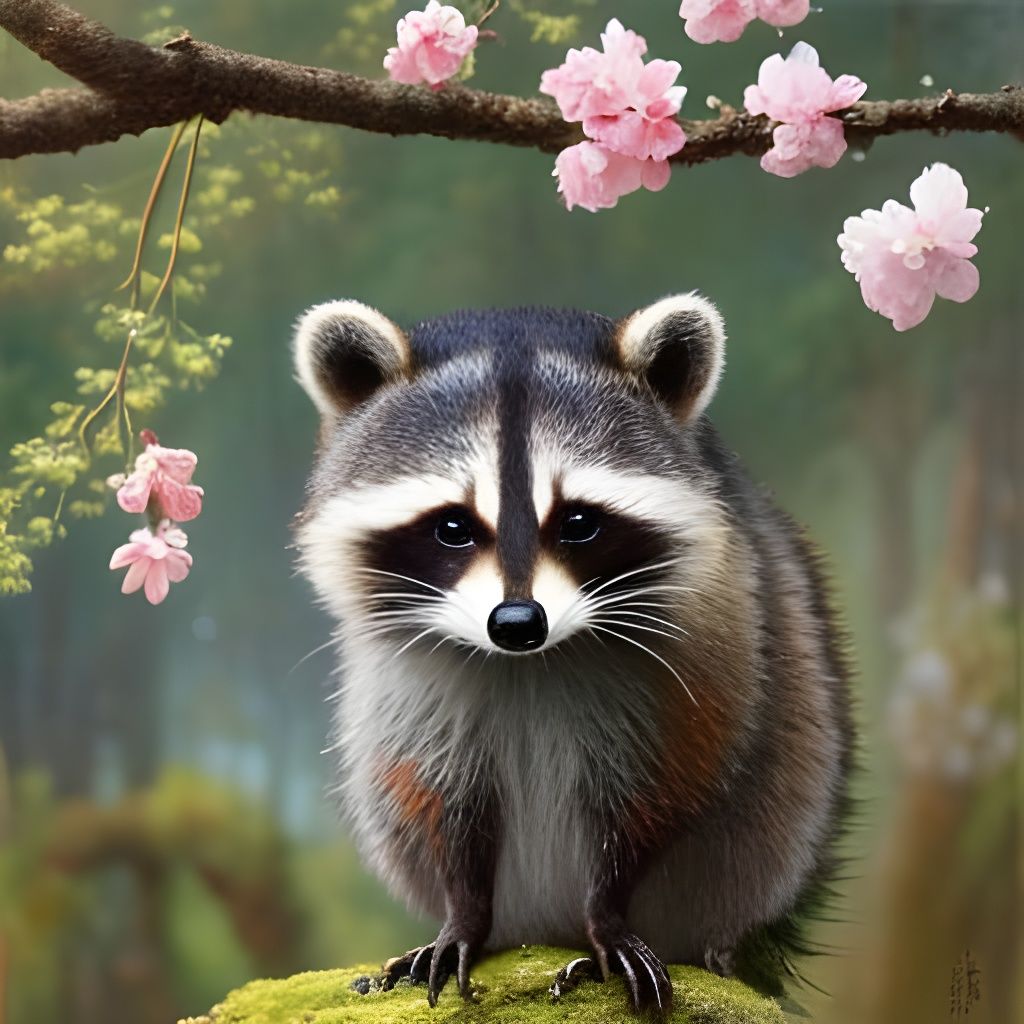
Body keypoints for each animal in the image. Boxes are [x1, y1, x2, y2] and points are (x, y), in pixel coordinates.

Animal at [292, 295, 853, 1017]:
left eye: (579, 522)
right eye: (453, 526)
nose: (516, 623)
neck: (528, 662)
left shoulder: (702, 652)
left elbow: (652, 792)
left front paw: (607, 918)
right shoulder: (410, 681)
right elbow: (441, 795)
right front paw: (462, 917)